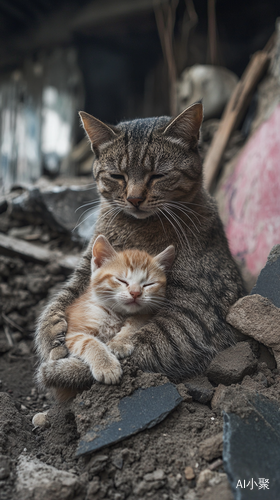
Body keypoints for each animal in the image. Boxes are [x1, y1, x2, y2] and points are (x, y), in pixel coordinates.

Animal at [35, 101, 245, 390]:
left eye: (158, 175)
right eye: (117, 176)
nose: (134, 199)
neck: (138, 228)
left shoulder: (195, 313)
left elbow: (145, 348)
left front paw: (68, 369)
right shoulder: (87, 269)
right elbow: (60, 299)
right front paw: (51, 333)